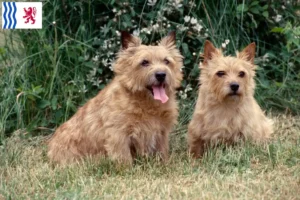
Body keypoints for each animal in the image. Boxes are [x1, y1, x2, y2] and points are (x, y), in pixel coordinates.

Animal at [47, 32, 183, 165]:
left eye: (166, 61)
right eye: (144, 62)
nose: (161, 75)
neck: (147, 104)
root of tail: (50, 149)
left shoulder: (161, 133)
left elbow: (162, 152)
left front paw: (165, 165)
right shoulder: (118, 135)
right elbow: (123, 158)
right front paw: (127, 170)